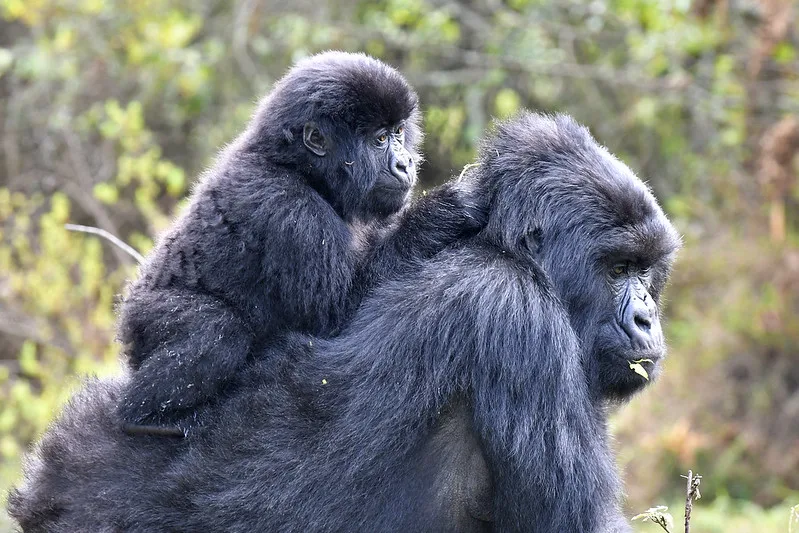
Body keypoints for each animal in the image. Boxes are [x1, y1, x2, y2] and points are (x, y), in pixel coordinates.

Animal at [119, 52, 482, 430]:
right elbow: (339, 319)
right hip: (144, 319)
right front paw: (442, 212)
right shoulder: (291, 211)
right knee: (216, 330)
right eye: (379, 140)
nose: (405, 163)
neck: (298, 168)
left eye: (398, 132)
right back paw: (144, 418)